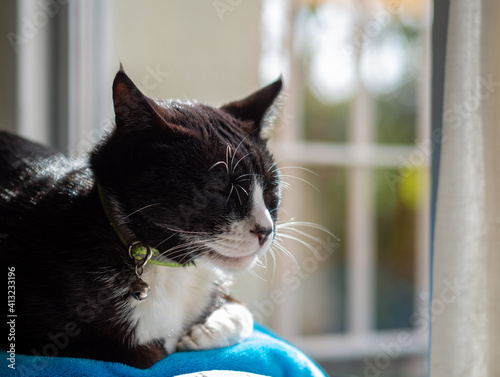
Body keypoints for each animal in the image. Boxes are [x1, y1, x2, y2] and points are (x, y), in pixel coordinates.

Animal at [0, 67, 282, 368]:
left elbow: (243, 313)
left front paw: (205, 330)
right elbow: (152, 354)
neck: (166, 268)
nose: (266, 230)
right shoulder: (53, 341)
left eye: (271, 190)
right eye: (219, 190)